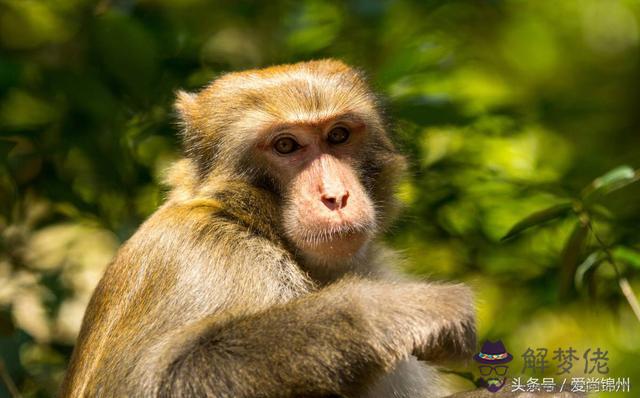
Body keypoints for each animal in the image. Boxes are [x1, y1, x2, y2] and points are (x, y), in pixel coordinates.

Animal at [60, 59, 478, 398]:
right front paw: (384, 309)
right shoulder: (202, 255)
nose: (336, 196)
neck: (253, 222)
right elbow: (151, 381)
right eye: (286, 145)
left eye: (338, 135)